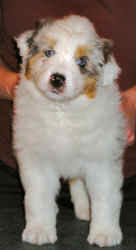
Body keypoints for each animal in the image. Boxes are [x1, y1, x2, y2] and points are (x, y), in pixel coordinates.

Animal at [13, 14, 127, 247]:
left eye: (82, 62)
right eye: (49, 52)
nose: (57, 79)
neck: (62, 112)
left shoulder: (102, 160)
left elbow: (105, 197)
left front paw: (105, 233)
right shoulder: (38, 159)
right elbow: (38, 196)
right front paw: (39, 230)